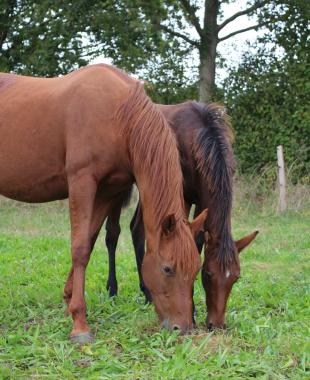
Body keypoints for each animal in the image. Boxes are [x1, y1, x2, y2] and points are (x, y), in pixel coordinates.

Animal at [0, 63, 208, 342]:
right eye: (167, 269)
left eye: (196, 269)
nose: (182, 328)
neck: (118, 114)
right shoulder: (82, 182)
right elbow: (79, 248)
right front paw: (80, 323)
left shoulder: (109, 191)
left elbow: (89, 241)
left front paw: (68, 301)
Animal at [105, 101, 258, 330]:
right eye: (207, 273)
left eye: (236, 278)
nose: (216, 325)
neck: (200, 140)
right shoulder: (182, 199)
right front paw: (191, 311)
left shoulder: (202, 199)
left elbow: (198, 241)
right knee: (112, 234)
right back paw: (113, 290)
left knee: (136, 229)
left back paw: (148, 293)